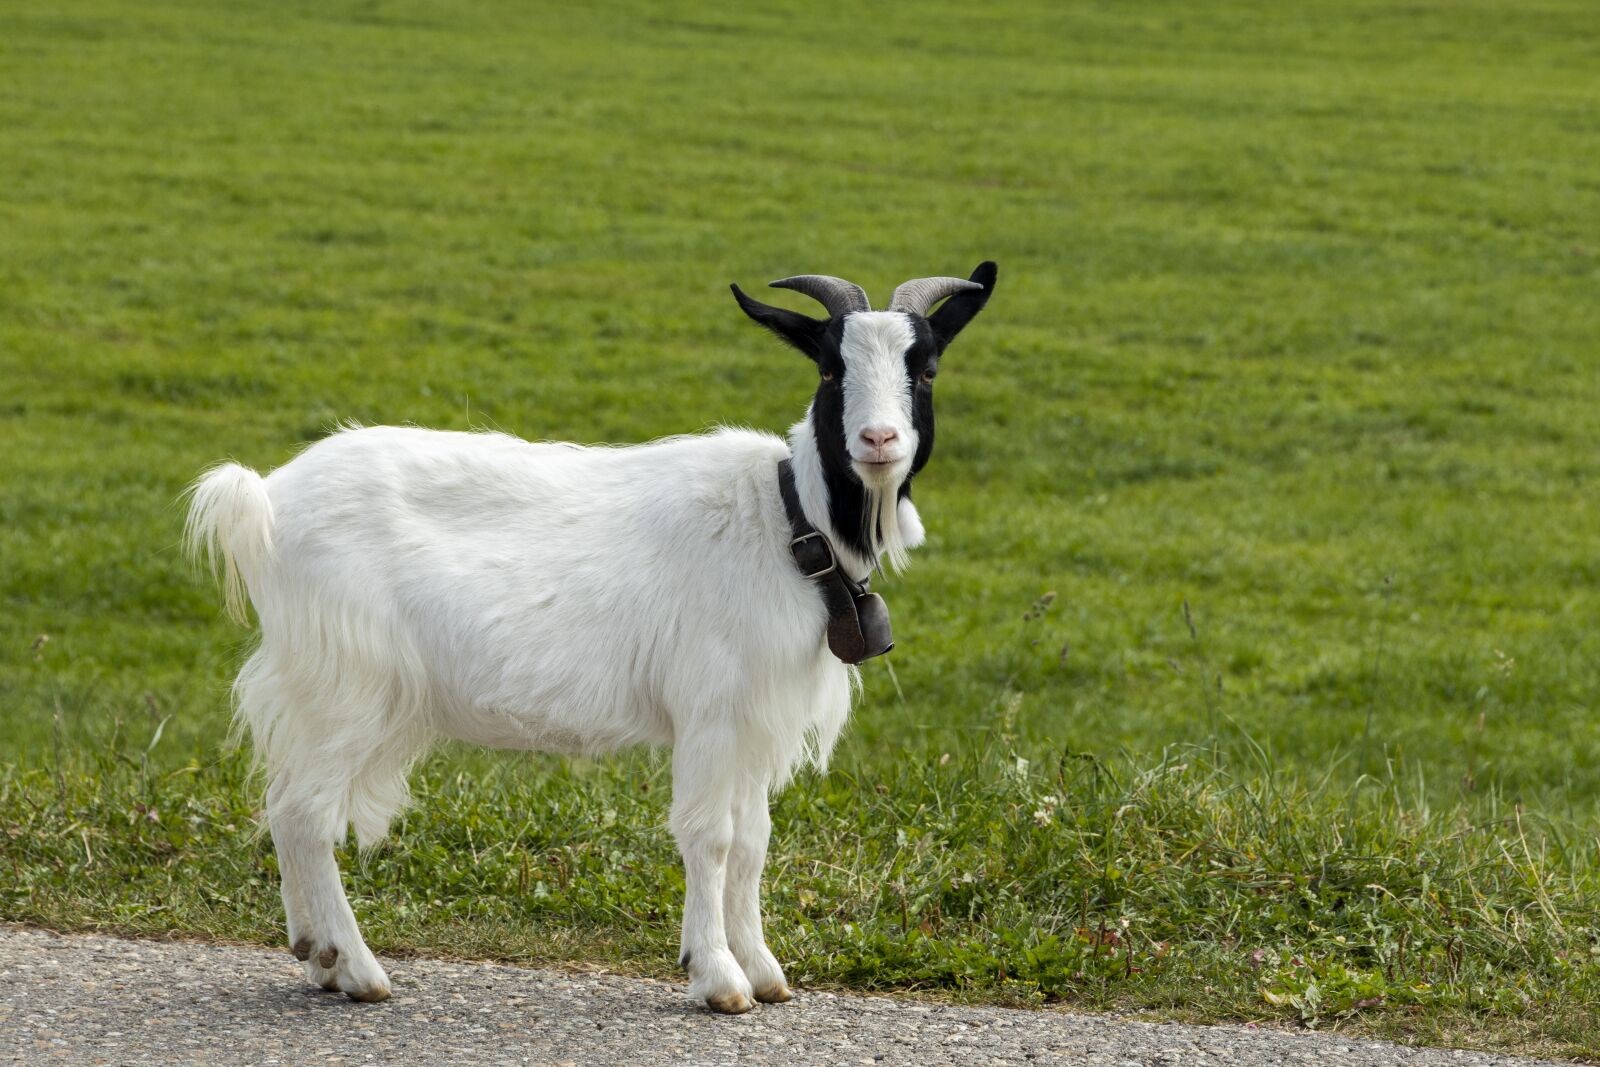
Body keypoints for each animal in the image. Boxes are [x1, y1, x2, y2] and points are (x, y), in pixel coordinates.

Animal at [185, 263, 997, 1012]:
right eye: (831, 367)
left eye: (925, 367)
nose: (878, 439)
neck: (788, 521)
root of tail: (264, 501)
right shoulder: (710, 709)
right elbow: (711, 835)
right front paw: (718, 976)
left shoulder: (755, 719)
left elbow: (754, 839)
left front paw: (765, 971)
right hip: (348, 681)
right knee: (305, 812)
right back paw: (357, 968)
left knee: (285, 801)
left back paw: (316, 954)